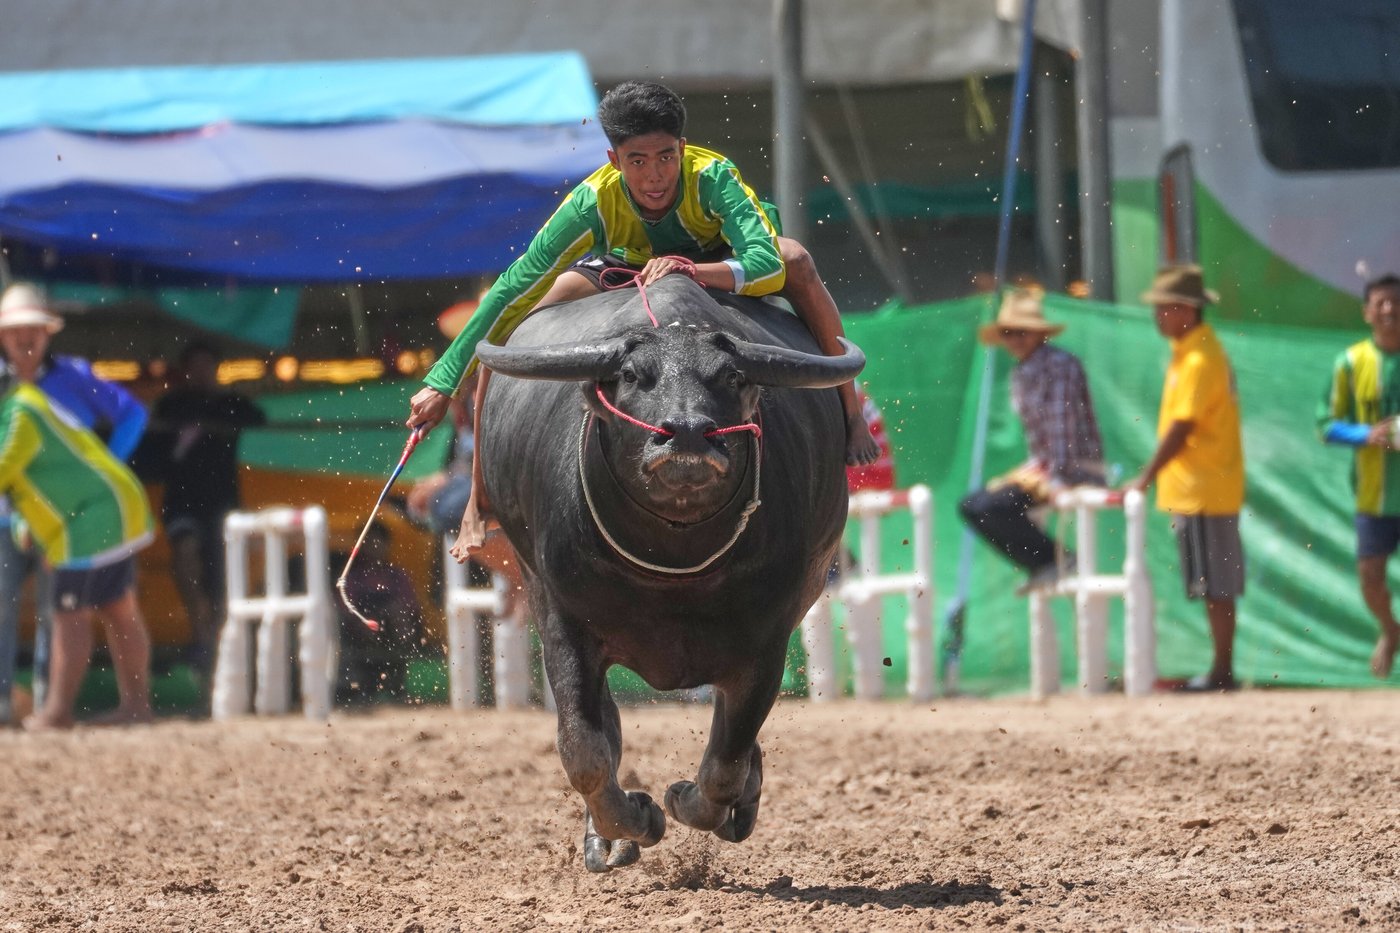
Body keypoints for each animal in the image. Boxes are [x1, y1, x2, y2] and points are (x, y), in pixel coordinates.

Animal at [474, 274, 864, 871]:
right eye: (633, 376)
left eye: (731, 376)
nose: (686, 434)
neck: (674, 563)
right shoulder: (564, 625)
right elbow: (583, 749)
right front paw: (631, 821)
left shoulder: (766, 642)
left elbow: (726, 760)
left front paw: (687, 801)